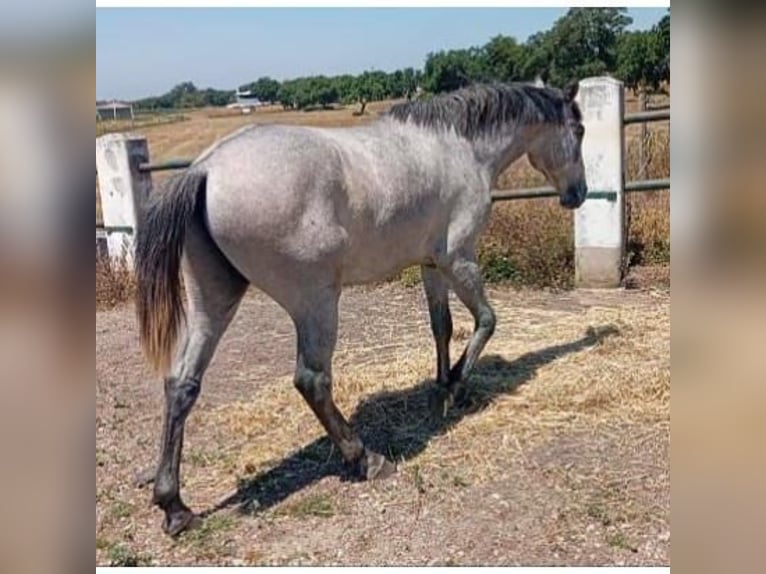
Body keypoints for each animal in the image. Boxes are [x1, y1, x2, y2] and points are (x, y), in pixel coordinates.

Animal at [135, 80, 588, 536]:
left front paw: (441, 387)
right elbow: (486, 320)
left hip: (214, 300)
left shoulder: (431, 265)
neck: (458, 147)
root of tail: (207, 169)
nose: (579, 194)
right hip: (315, 303)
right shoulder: (459, 259)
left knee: (182, 383)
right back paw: (366, 459)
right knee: (312, 381)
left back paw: (174, 506)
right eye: (580, 130)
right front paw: (457, 386)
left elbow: (441, 326)